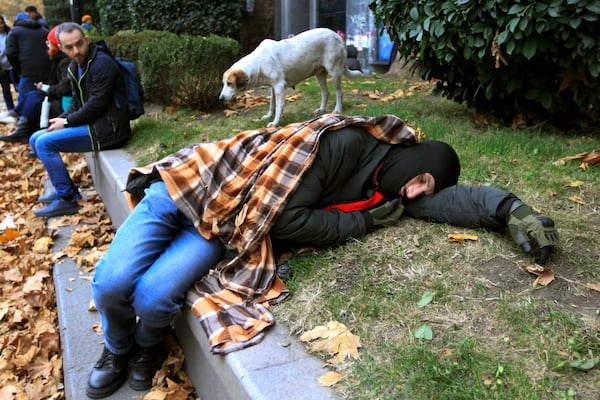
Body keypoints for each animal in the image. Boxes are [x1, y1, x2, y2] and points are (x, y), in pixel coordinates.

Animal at [219, 27, 360, 126]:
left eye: (229, 83)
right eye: (223, 83)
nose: (220, 98)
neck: (258, 63)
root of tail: (337, 36)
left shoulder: (279, 86)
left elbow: (278, 106)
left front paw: (275, 122)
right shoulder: (273, 87)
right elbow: (272, 104)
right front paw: (269, 116)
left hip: (334, 72)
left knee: (339, 93)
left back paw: (337, 110)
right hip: (319, 74)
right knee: (326, 92)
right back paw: (321, 110)